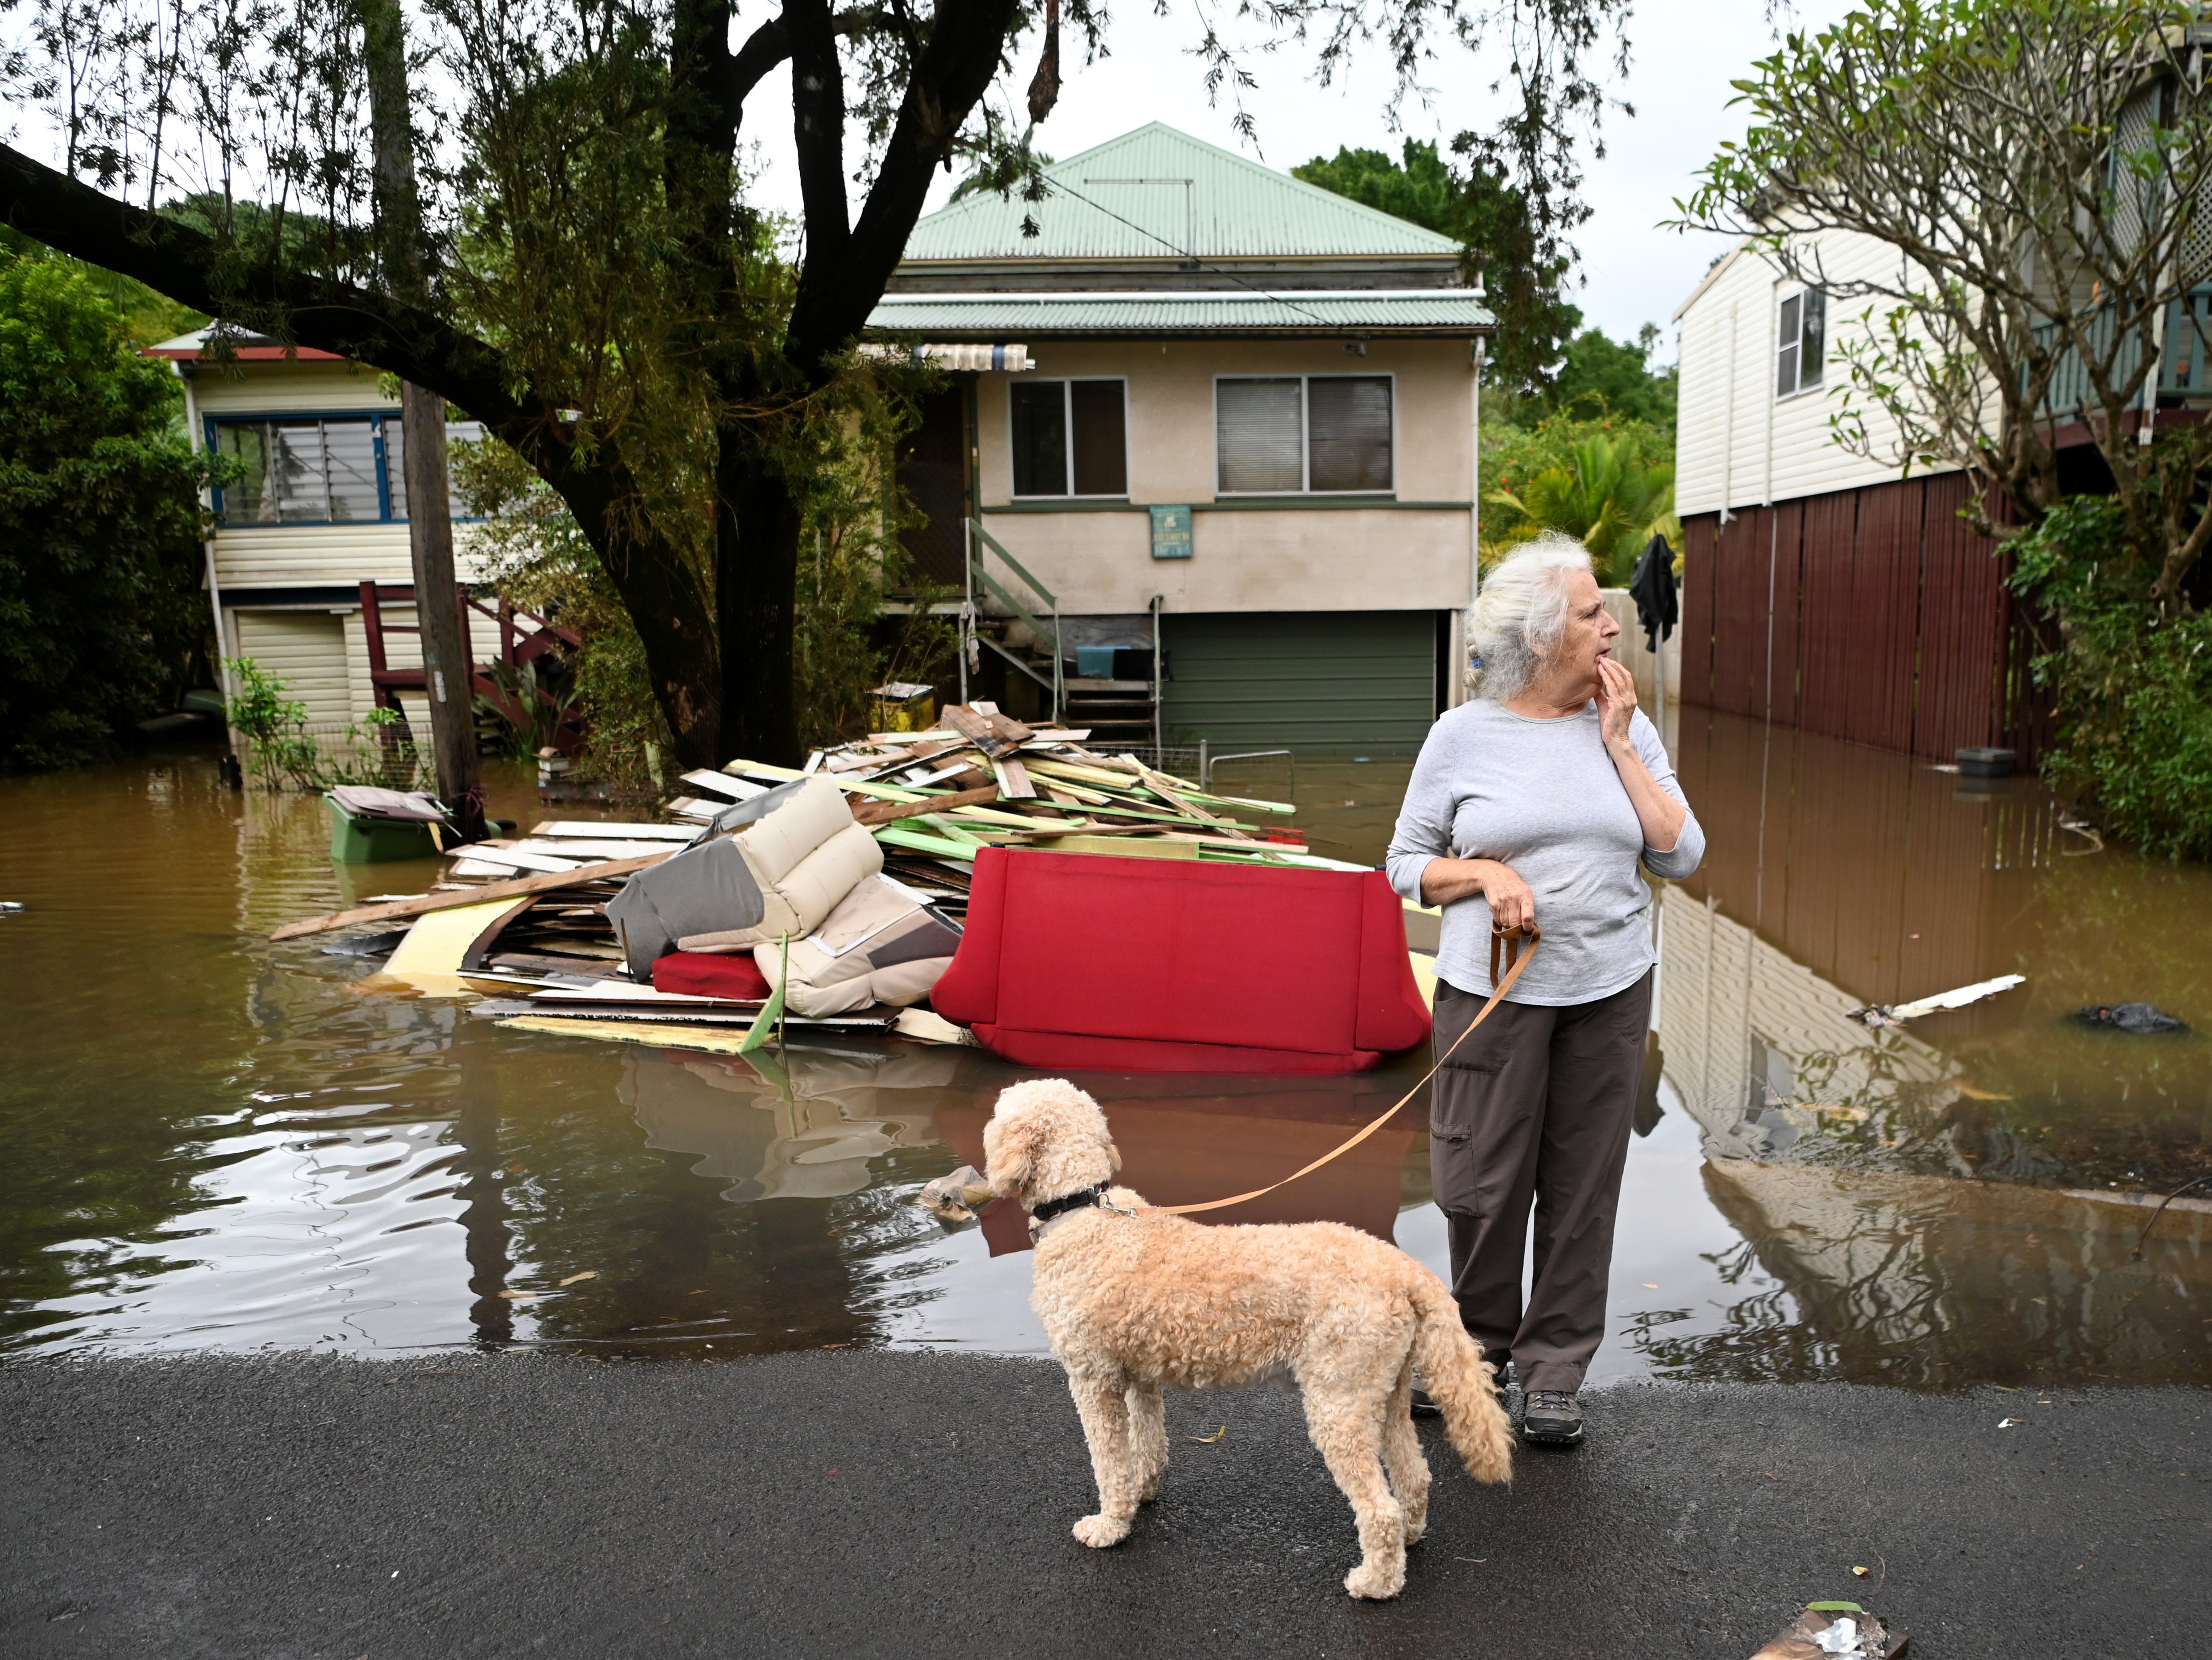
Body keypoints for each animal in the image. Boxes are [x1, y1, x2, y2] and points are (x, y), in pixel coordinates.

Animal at [991, 1071, 1522, 1602]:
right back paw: (1409, 1540)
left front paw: (1109, 1525)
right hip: (1383, 1390)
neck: (1084, 1208)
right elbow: (1148, 1442)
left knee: (1378, 1506)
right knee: (1413, 1477)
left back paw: (1375, 1582)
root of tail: (1406, 1271)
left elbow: (1109, 1460)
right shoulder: (1141, 1375)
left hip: (1339, 1398)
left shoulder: (1092, 1376)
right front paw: (1142, 1493)